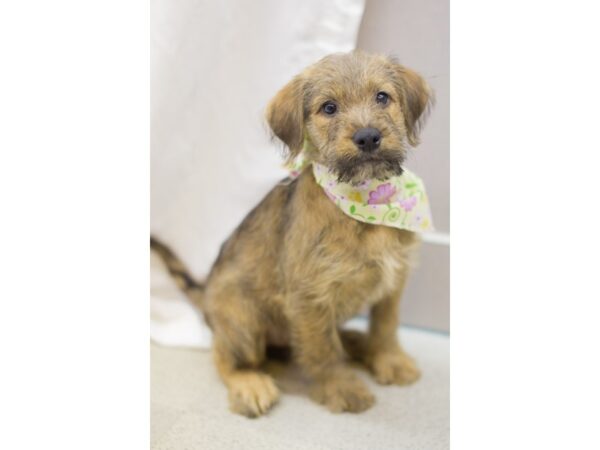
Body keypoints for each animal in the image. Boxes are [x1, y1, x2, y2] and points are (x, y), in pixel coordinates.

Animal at [150, 50, 432, 418]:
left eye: (382, 97)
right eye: (329, 107)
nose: (368, 136)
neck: (366, 201)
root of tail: (208, 296)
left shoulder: (394, 279)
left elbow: (385, 326)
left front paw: (390, 360)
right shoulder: (311, 296)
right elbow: (323, 349)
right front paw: (341, 387)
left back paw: (358, 342)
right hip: (242, 316)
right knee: (224, 356)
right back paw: (250, 383)